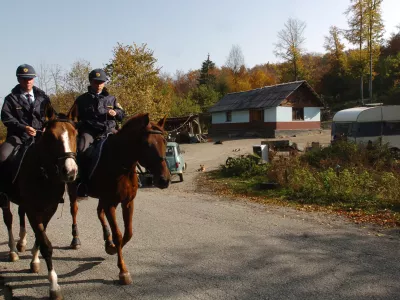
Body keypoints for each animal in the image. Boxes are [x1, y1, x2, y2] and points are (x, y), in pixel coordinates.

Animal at [0, 106, 77, 298]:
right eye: (51, 136)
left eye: (75, 134)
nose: (70, 172)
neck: (44, 174)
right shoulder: (33, 210)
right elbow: (45, 244)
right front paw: (54, 286)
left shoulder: (49, 209)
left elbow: (40, 236)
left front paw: (34, 261)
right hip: (4, 199)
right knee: (8, 219)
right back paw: (13, 251)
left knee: (19, 215)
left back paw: (21, 243)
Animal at [67, 111, 170, 284]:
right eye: (147, 144)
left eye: (164, 142)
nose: (164, 180)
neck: (120, 164)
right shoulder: (111, 204)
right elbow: (118, 235)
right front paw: (123, 271)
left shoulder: (126, 202)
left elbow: (128, 233)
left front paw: (113, 248)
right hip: (73, 191)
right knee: (74, 211)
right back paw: (76, 239)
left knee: (99, 212)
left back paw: (107, 241)